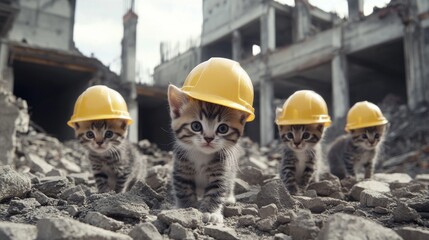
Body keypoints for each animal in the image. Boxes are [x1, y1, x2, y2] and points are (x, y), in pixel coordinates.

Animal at [167, 84, 247, 223]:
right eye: (196, 126)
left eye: (223, 128)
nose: (208, 138)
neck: (201, 155)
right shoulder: (181, 168)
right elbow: (183, 189)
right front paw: (186, 209)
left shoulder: (222, 170)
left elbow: (216, 191)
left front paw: (210, 212)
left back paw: (229, 197)